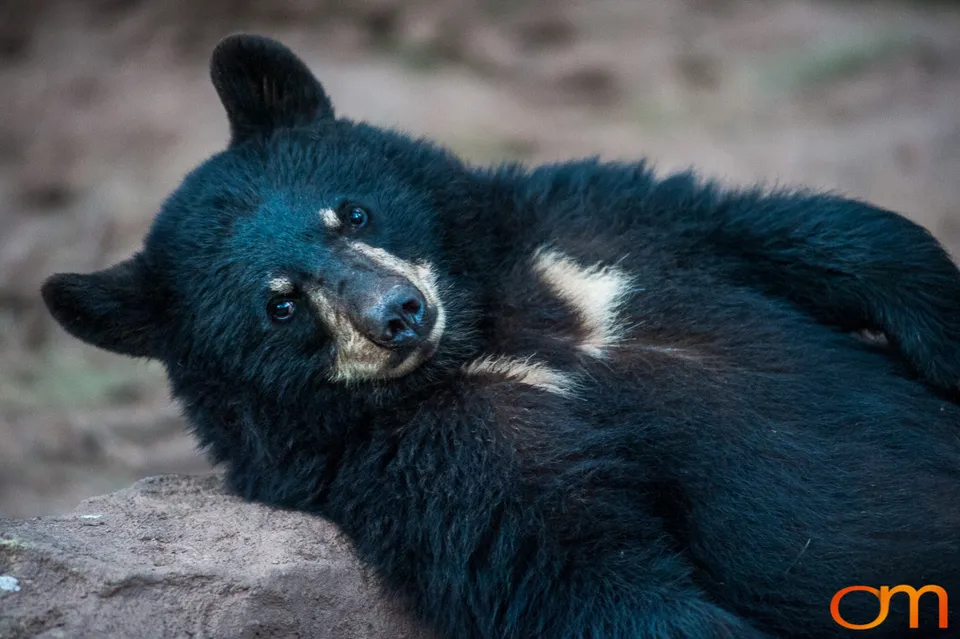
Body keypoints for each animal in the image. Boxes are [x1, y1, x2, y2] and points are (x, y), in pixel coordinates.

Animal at [41, 34, 960, 638]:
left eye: (352, 212)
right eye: (281, 304)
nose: (400, 311)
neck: (490, 326)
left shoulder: (598, 228)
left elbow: (820, 234)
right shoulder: (438, 453)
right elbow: (575, 568)